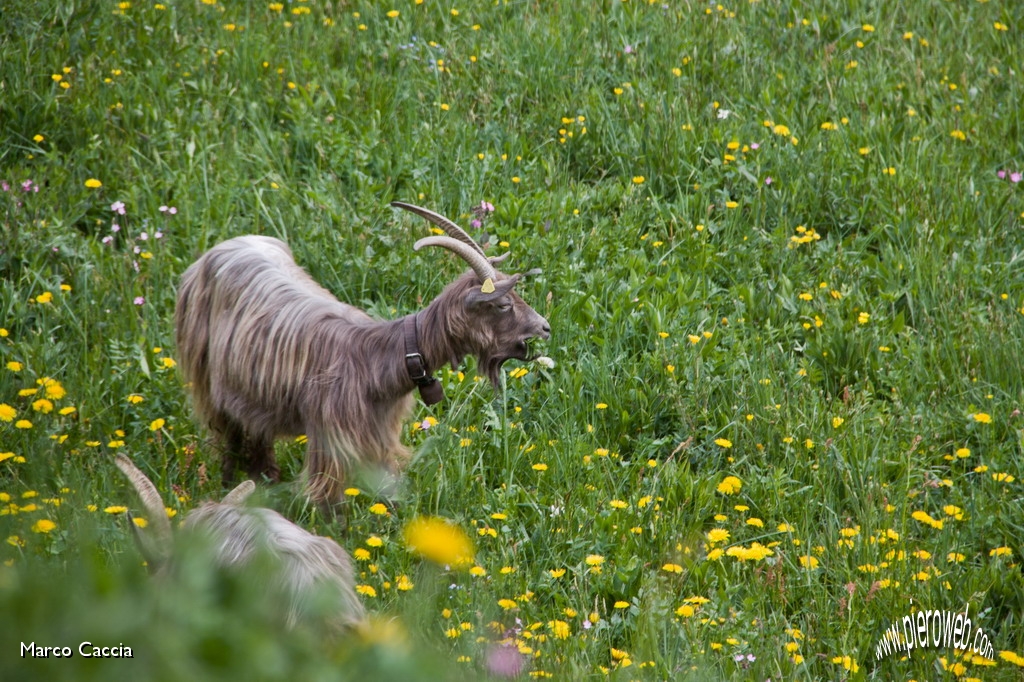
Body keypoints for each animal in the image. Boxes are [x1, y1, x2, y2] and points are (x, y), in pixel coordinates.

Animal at [174, 199, 552, 501]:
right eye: (503, 304)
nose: (545, 327)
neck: (374, 356)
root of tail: (220, 249)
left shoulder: (380, 437)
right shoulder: (330, 440)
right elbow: (330, 505)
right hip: (208, 376)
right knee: (228, 433)